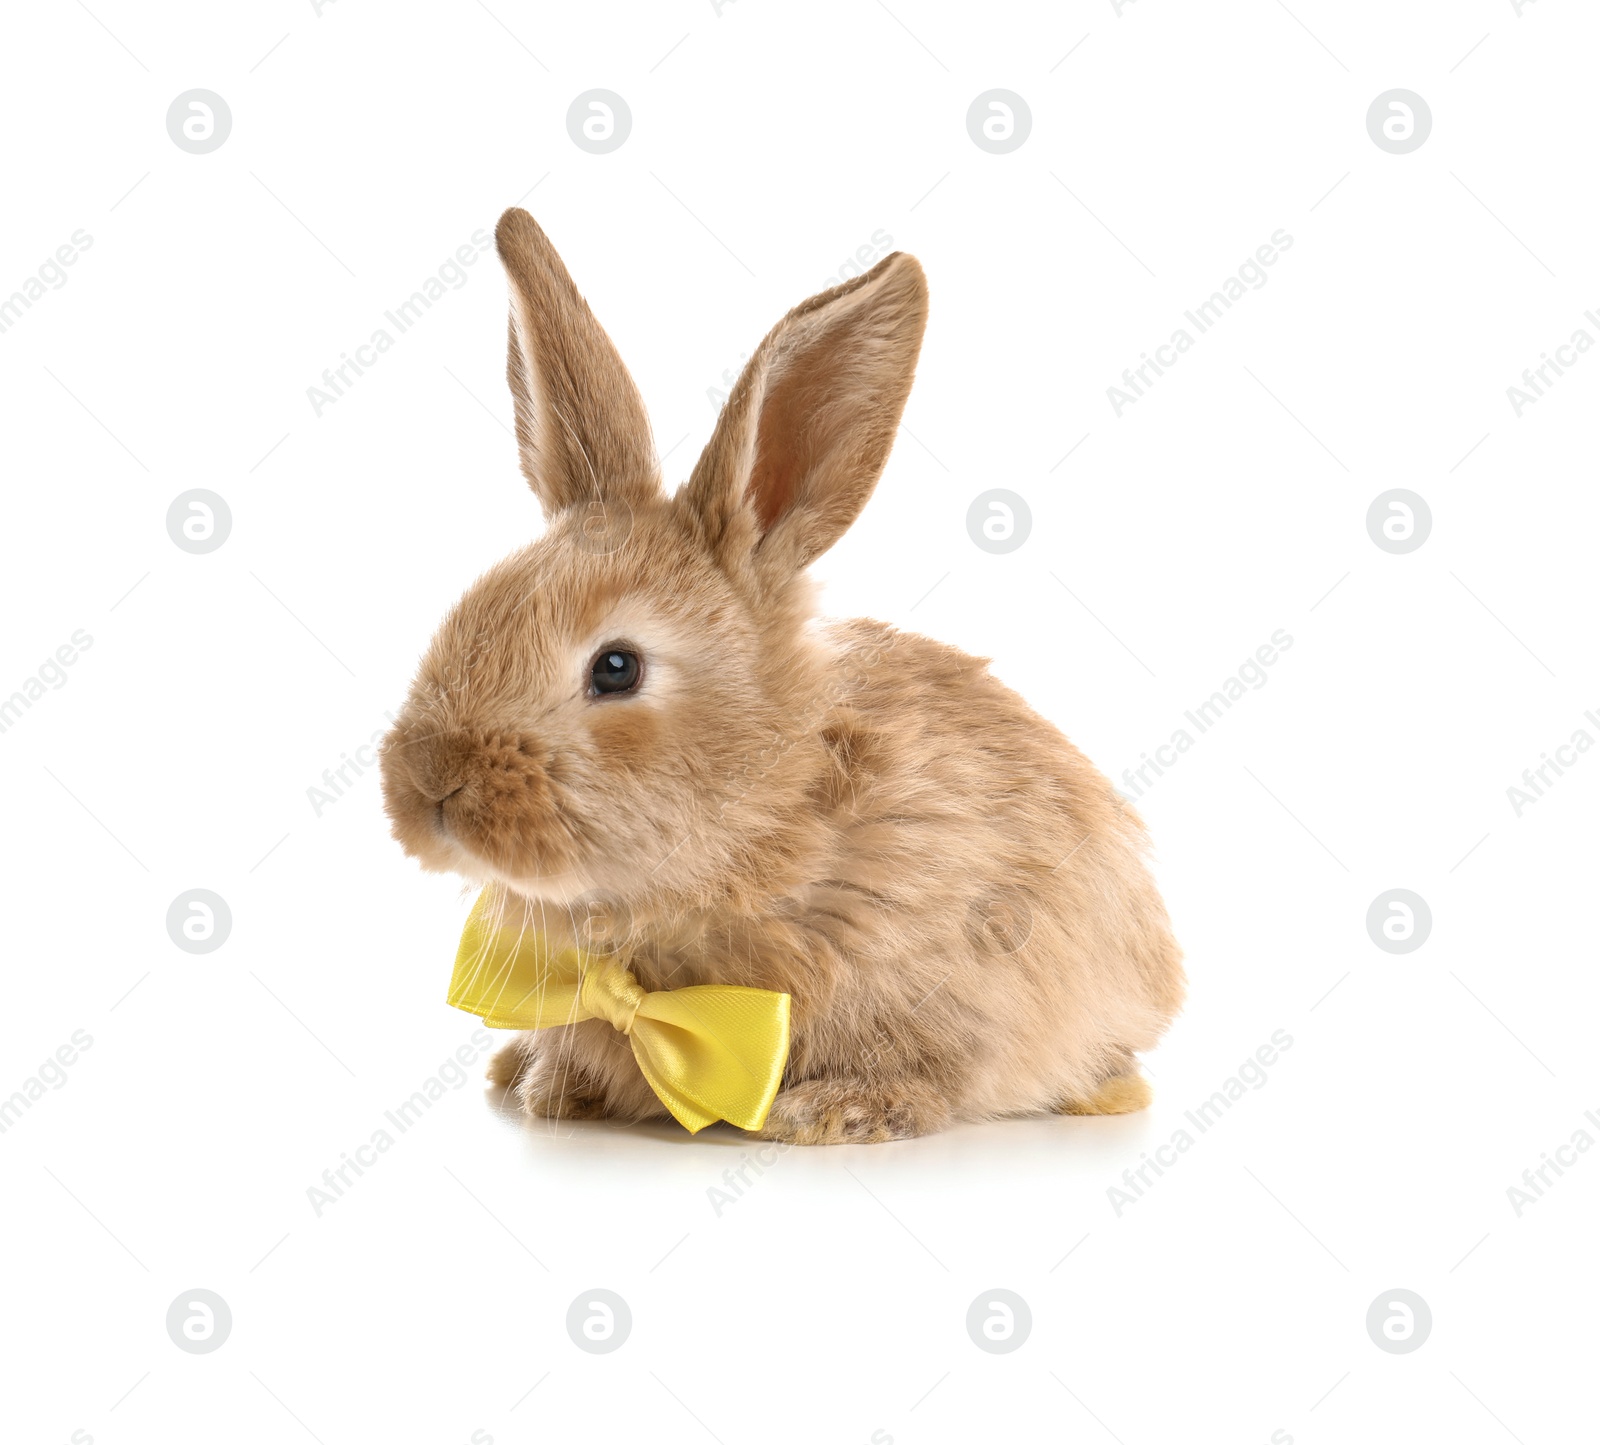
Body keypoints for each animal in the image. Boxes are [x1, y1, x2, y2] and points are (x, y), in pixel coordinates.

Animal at [380, 209, 1184, 1145]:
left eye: (616, 667)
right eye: (468, 609)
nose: (430, 777)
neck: (768, 811)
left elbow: (933, 1065)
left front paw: (839, 1110)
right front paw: (551, 1083)